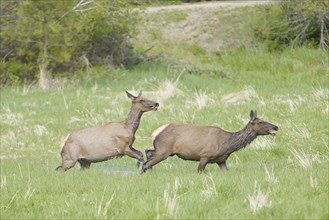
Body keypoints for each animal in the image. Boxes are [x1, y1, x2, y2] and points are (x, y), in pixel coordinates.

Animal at [142, 111, 278, 173]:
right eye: (260, 122)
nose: (276, 127)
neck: (228, 145)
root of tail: (155, 133)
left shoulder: (221, 160)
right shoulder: (205, 155)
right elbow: (199, 171)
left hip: (163, 150)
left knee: (148, 152)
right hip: (164, 150)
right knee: (146, 163)